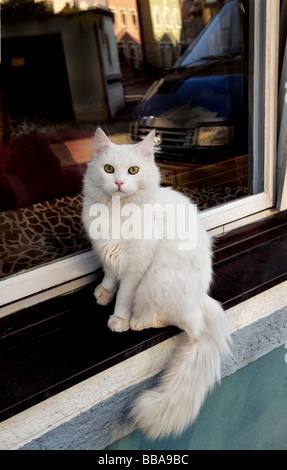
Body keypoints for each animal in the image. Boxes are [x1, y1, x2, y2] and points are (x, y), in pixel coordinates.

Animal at [82, 126, 231, 438]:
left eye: (133, 170)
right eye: (109, 169)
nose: (119, 182)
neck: (117, 213)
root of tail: (202, 299)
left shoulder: (136, 265)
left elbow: (123, 295)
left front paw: (118, 320)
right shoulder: (108, 253)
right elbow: (109, 275)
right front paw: (103, 293)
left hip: (156, 282)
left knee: (178, 322)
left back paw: (137, 321)